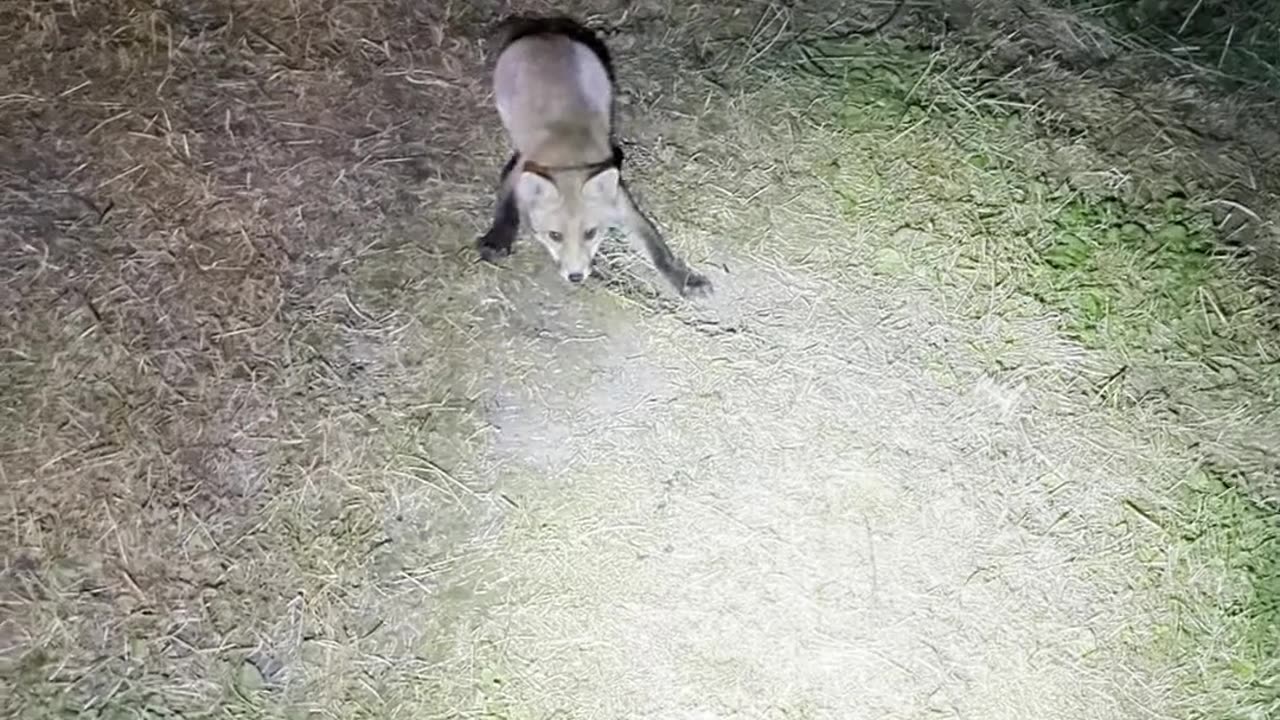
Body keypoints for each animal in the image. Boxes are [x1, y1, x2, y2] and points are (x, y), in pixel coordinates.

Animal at [473, 16, 711, 297]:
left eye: (590, 233)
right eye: (555, 236)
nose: (576, 277)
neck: (570, 157)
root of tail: (546, 32)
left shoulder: (622, 204)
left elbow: (658, 251)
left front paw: (685, 280)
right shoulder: (519, 170)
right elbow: (506, 204)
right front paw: (497, 239)